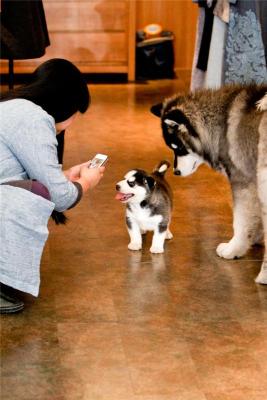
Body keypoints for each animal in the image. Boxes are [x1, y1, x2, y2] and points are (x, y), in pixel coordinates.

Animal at [151, 84, 267, 284]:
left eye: (178, 147)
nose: (176, 172)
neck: (221, 125)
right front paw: (255, 237)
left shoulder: (243, 182)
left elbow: (240, 221)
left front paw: (234, 248)